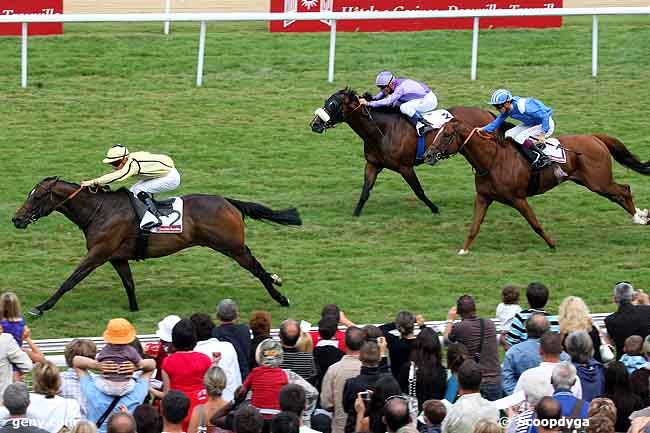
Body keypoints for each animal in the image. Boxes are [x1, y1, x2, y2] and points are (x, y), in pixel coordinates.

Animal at [12, 177, 302, 316]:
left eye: (37, 196)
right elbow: (129, 283)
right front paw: (133, 313)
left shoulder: (98, 253)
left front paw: (41, 307)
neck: (99, 210)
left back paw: (280, 295)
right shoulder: (117, 257)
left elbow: (70, 280)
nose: (16, 219)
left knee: (256, 267)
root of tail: (227, 201)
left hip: (231, 246)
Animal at [308, 88, 496, 216]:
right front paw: (355, 213)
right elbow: (365, 191)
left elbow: (418, 191)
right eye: (326, 101)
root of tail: (486, 113)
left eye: (333, 104)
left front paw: (435, 209)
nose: (314, 124)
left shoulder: (405, 167)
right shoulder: (373, 164)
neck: (382, 130)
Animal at [420, 116, 648, 255]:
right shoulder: (483, 197)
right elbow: (474, 227)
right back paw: (640, 217)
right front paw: (464, 250)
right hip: (592, 182)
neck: (492, 160)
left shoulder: (517, 199)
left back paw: (639, 217)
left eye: (446, 135)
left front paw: (553, 244)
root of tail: (594, 137)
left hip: (598, 182)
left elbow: (535, 224)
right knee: (618, 195)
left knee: (624, 190)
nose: (428, 156)